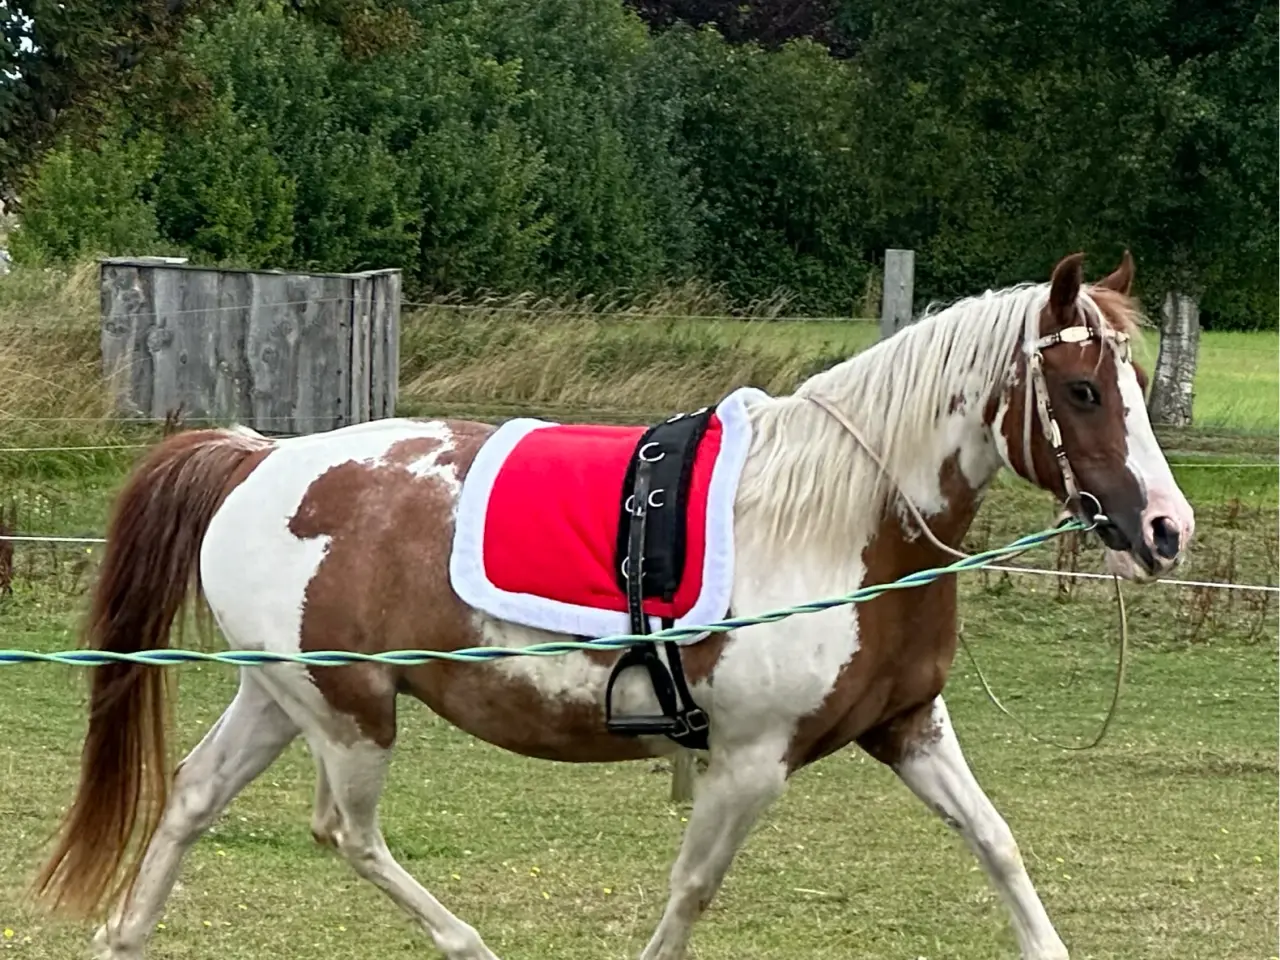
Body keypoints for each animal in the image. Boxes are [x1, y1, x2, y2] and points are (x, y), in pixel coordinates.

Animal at [31, 251, 1194, 960]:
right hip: (349, 713)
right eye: (1083, 391)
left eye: (1138, 384)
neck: (839, 523)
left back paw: (127, 936)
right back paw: (468, 942)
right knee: (345, 833)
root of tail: (256, 457)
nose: (1165, 530)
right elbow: (690, 893)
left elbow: (997, 843)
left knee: (191, 798)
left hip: (281, 699)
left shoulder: (908, 729)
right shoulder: (747, 764)